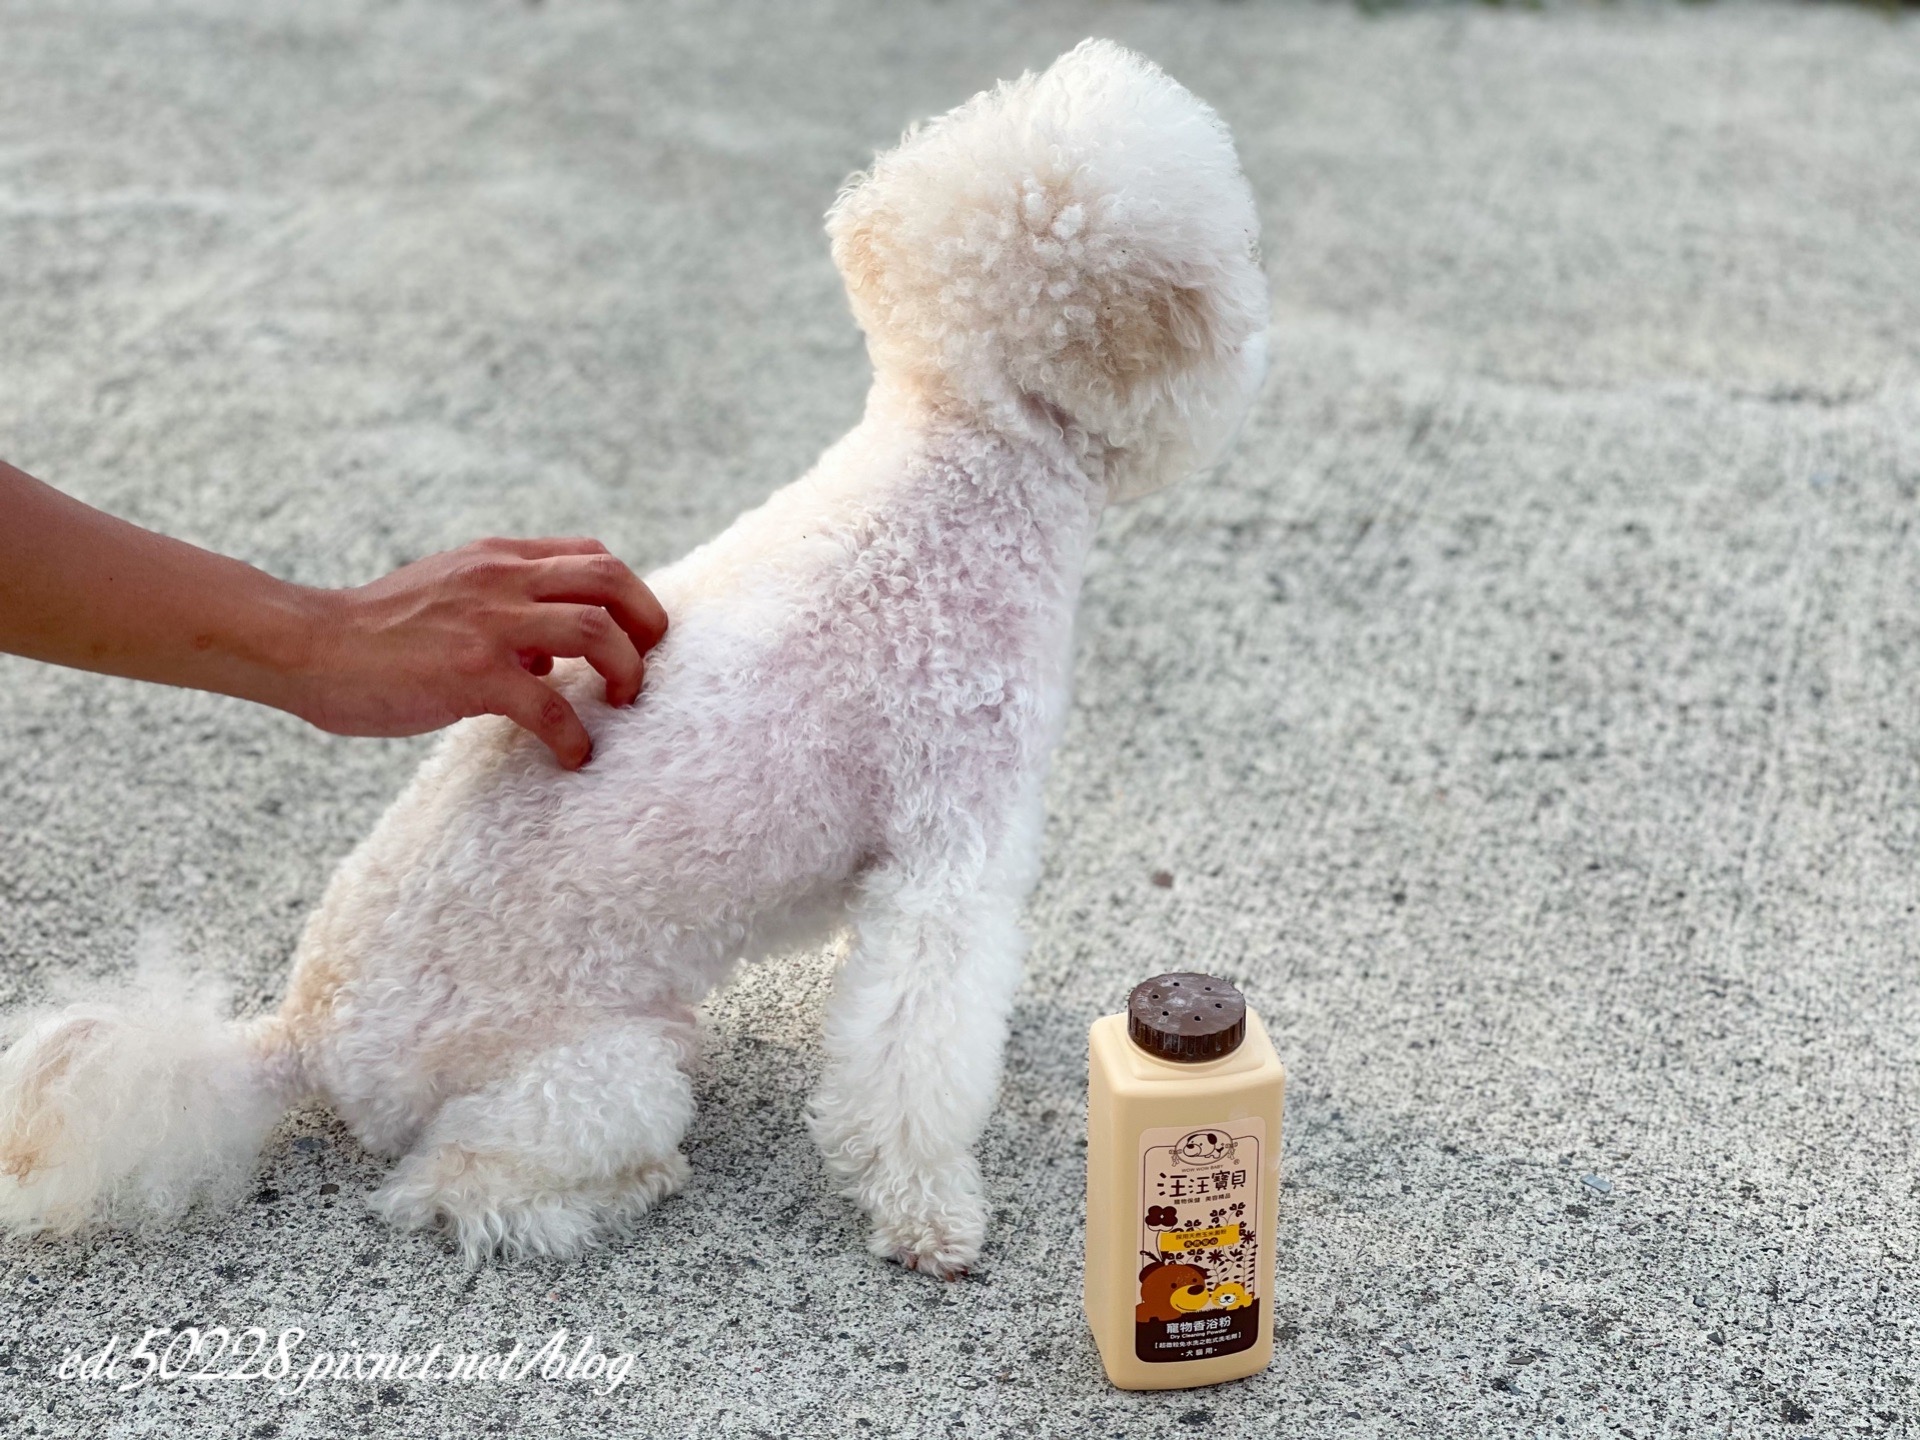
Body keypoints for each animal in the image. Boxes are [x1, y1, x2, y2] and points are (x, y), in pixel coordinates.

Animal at [0, 39, 1274, 1282]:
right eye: (1229, 251)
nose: (1263, 337)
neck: (966, 462)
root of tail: (296, 1034)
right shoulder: (949, 850)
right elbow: (919, 1048)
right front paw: (929, 1219)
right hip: (605, 1067)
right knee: (449, 1187)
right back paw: (619, 1185)